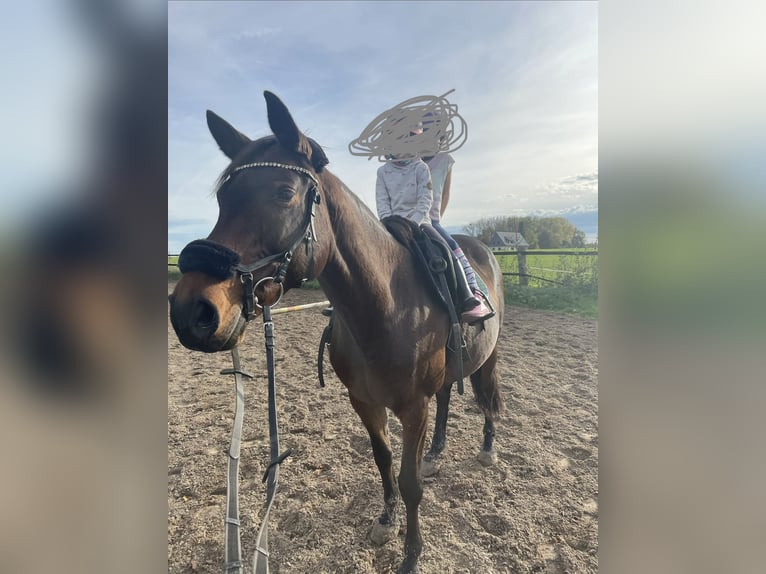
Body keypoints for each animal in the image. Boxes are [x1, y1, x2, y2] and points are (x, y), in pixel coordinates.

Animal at [169, 91, 505, 574]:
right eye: (222, 198)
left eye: (284, 193)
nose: (190, 310)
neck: (384, 309)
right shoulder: (363, 401)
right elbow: (384, 461)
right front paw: (385, 521)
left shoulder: (413, 407)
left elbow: (409, 481)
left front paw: (411, 555)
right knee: (447, 399)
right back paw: (437, 453)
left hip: (489, 355)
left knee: (488, 397)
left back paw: (488, 448)